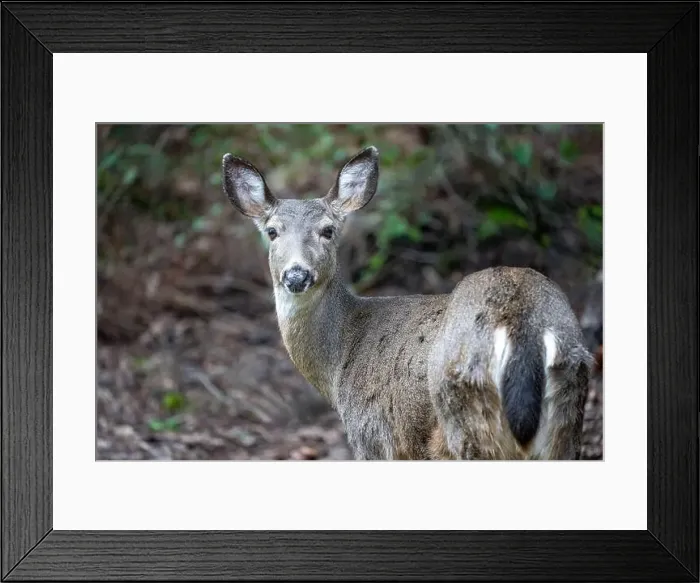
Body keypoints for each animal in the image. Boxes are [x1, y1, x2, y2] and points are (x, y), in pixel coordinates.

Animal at [222, 146, 593, 460]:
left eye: (327, 230)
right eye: (272, 232)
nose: (296, 275)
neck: (338, 360)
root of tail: (520, 321)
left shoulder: (374, 436)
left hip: (464, 409)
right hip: (569, 405)